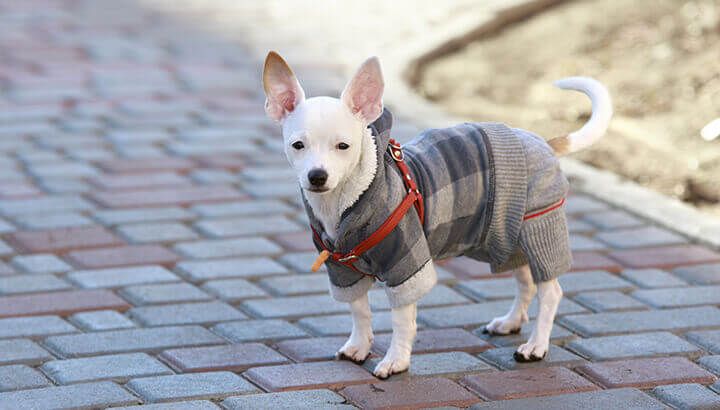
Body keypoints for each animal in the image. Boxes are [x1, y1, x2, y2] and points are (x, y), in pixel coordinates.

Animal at [262, 50, 612, 378]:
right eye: (297, 145)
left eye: (343, 146)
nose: (317, 176)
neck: (342, 206)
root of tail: (545, 143)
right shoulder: (343, 270)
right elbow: (359, 310)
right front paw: (358, 346)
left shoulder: (405, 265)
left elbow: (402, 321)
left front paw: (395, 361)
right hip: (507, 238)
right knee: (525, 282)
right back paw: (511, 322)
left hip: (539, 228)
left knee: (550, 291)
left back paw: (536, 345)